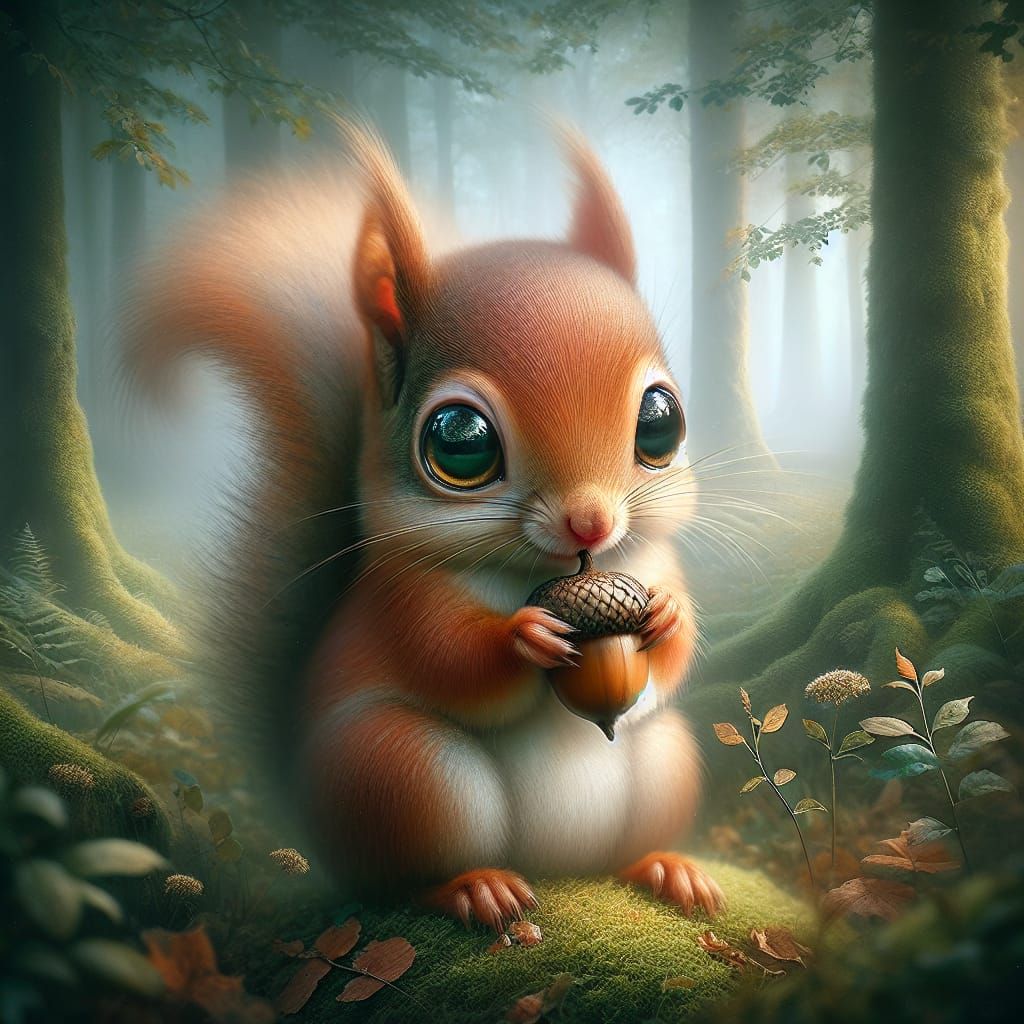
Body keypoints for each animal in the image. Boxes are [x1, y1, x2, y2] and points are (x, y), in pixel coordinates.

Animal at [127, 121, 723, 929]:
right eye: (459, 441)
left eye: (662, 421)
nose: (591, 525)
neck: (534, 574)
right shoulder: (400, 600)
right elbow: (448, 659)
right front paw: (524, 637)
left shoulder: (654, 561)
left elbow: (678, 647)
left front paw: (663, 618)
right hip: (400, 774)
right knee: (397, 879)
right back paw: (473, 887)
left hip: (665, 760)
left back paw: (666, 867)